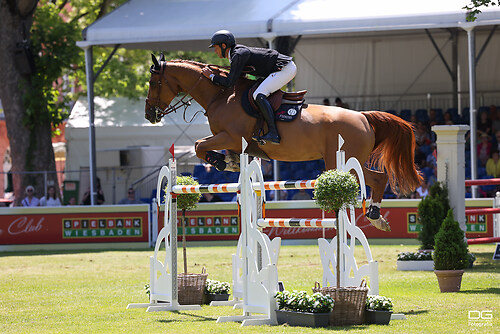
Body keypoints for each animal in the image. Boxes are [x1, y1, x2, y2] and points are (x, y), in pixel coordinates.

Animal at [145, 55, 422, 232]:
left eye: (153, 83)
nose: (150, 115)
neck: (221, 95)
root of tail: (363, 116)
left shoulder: (231, 136)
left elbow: (199, 145)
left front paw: (221, 162)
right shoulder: (233, 141)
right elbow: (209, 147)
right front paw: (230, 162)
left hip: (341, 161)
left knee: (377, 178)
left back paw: (374, 216)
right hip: (349, 161)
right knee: (378, 178)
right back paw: (376, 217)